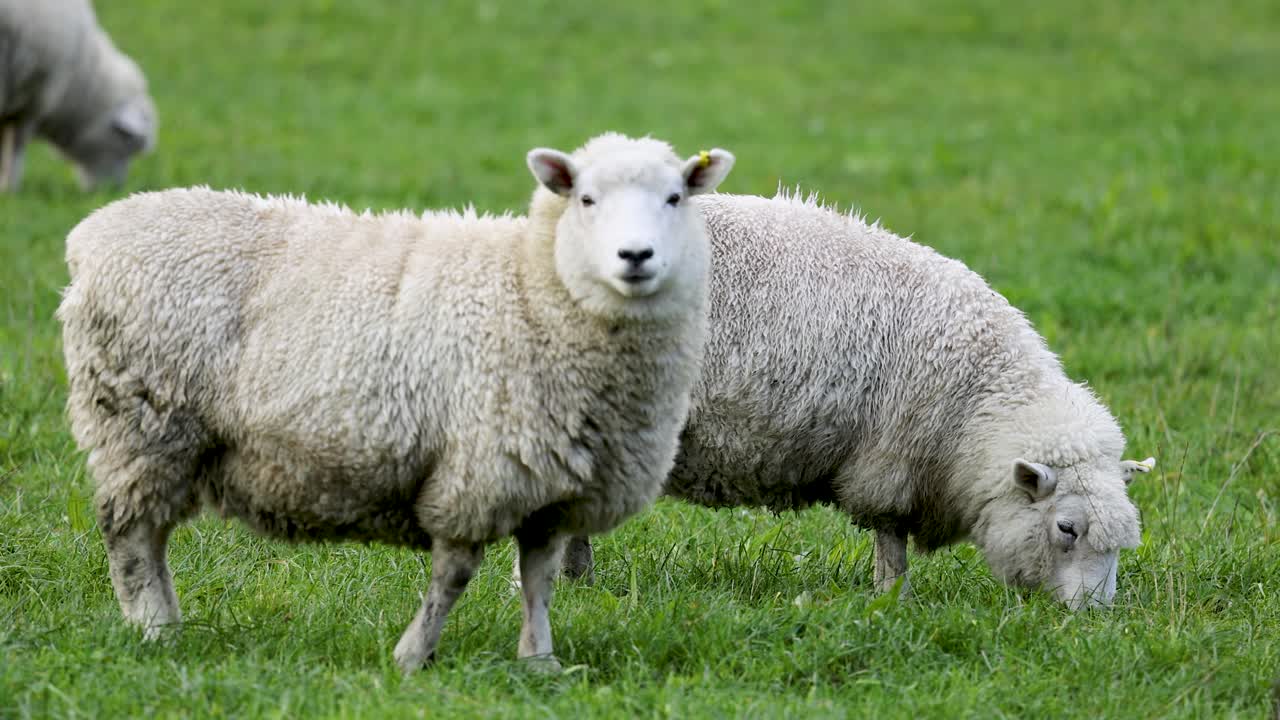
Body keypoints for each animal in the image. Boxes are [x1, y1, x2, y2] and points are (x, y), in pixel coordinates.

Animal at [57, 133, 735, 672]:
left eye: (675, 198)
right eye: (586, 199)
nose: (636, 257)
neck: (531, 288)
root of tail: (93, 235)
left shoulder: (549, 488)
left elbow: (538, 581)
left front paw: (539, 662)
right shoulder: (477, 470)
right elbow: (454, 575)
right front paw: (414, 656)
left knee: (150, 538)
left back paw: (168, 625)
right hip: (144, 422)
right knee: (133, 536)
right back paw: (155, 630)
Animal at [559, 190, 1154, 609]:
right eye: (1066, 529)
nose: (1095, 617)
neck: (980, 402)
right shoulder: (891, 461)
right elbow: (891, 540)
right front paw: (893, 600)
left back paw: (577, 580)